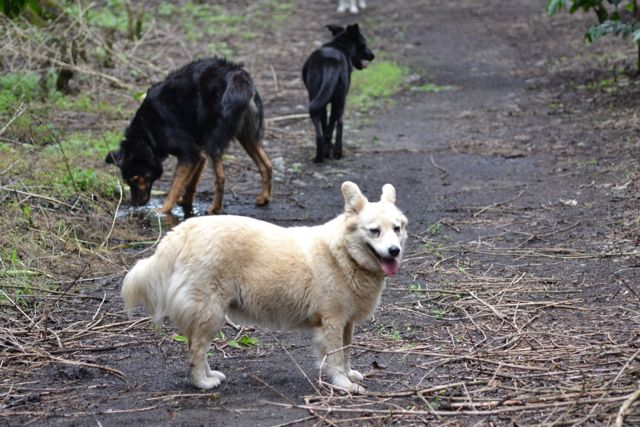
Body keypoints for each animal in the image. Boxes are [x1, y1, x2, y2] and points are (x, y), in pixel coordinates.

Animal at [105, 58, 272, 215]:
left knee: (221, 178)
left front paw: (163, 210)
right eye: (127, 182)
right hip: (247, 136)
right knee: (267, 164)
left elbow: (175, 186)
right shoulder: (198, 155)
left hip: (213, 142)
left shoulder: (189, 154)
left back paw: (214, 209)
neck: (148, 133)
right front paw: (186, 201)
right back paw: (264, 197)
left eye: (137, 179)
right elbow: (190, 183)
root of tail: (237, 74)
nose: (135, 205)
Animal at [121, 181, 407, 393]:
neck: (344, 254)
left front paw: (349, 375)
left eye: (397, 228)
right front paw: (342, 384)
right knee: (196, 351)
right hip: (210, 313)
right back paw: (203, 383)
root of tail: (183, 230)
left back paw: (210, 375)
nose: (395, 251)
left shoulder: (347, 323)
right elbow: (335, 357)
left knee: (195, 347)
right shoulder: (332, 321)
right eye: (374, 231)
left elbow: (346, 352)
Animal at [302, 24, 375, 162]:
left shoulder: (324, 102)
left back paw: (320, 156)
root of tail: (330, 61)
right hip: (340, 100)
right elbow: (332, 124)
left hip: (316, 98)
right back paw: (336, 152)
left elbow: (326, 126)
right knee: (339, 122)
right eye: (364, 44)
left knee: (321, 130)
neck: (339, 44)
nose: (373, 56)